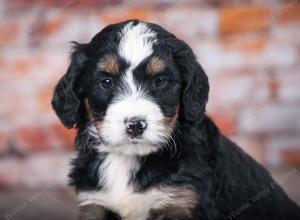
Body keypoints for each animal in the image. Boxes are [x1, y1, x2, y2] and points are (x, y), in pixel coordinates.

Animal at [52, 19, 300, 220]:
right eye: (106, 82)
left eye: (160, 82)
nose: (135, 125)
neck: (128, 159)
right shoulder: (94, 203)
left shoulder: (179, 203)